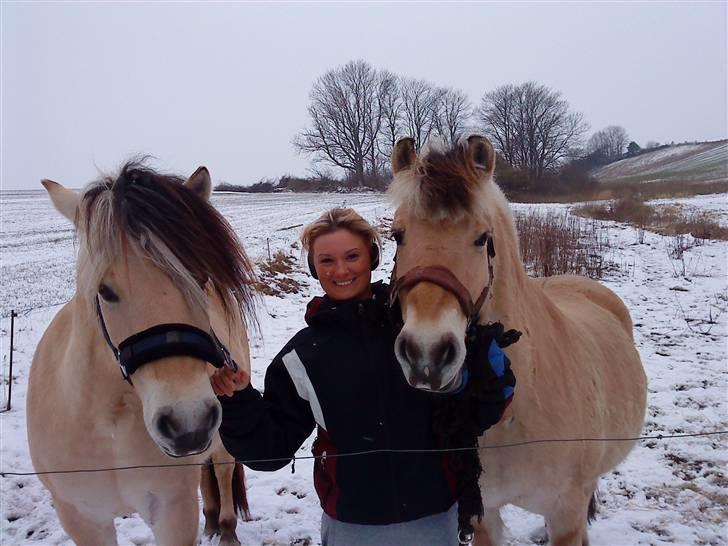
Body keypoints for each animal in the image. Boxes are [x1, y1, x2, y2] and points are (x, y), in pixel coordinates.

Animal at [28, 163, 256, 544]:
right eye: (104, 290)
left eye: (201, 277)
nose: (188, 424)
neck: (110, 426)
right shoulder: (82, 518)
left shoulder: (172, 512)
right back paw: (211, 521)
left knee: (222, 469)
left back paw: (225, 528)